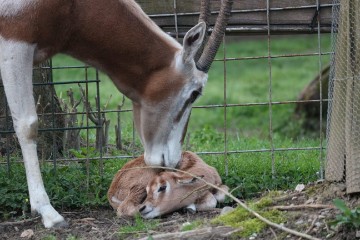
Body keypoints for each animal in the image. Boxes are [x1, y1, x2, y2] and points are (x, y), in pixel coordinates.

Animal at [0, 0, 233, 229]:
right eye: (195, 93)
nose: (174, 160)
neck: (74, 7)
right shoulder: (15, 42)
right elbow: (28, 125)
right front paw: (48, 213)